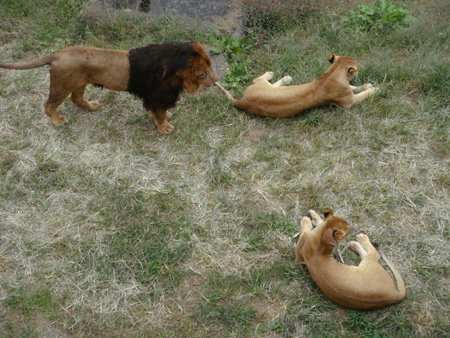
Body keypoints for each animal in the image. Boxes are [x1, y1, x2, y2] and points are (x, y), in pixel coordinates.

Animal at [0, 40, 218, 133]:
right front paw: (164, 128)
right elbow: (160, 114)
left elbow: (161, 112)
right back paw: (57, 121)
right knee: (49, 105)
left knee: (76, 99)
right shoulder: (156, 95)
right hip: (62, 86)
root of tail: (56, 54)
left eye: (211, 65)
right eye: (203, 73)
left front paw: (166, 118)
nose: (216, 79)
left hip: (79, 83)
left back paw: (90, 106)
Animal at [216, 51, 378, 117]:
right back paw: (273, 74)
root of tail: (242, 101)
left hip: (270, 89)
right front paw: (375, 89)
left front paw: (368, 85)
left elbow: (355, 87)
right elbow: (363, 94)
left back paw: (286, 78)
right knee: (257, 78)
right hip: (260, 85)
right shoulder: (348, 103)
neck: (333, 72)